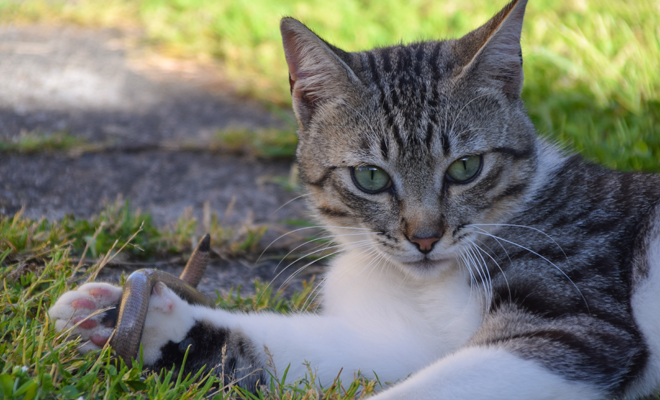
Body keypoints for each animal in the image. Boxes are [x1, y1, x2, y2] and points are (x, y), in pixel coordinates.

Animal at [49, 1, 660, 398]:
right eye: (370, 178)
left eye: (465, 168)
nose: (424, 237)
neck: (418, 284)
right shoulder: (399, 340)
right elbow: (303, 348)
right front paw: (130, 318)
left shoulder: (576, 321)